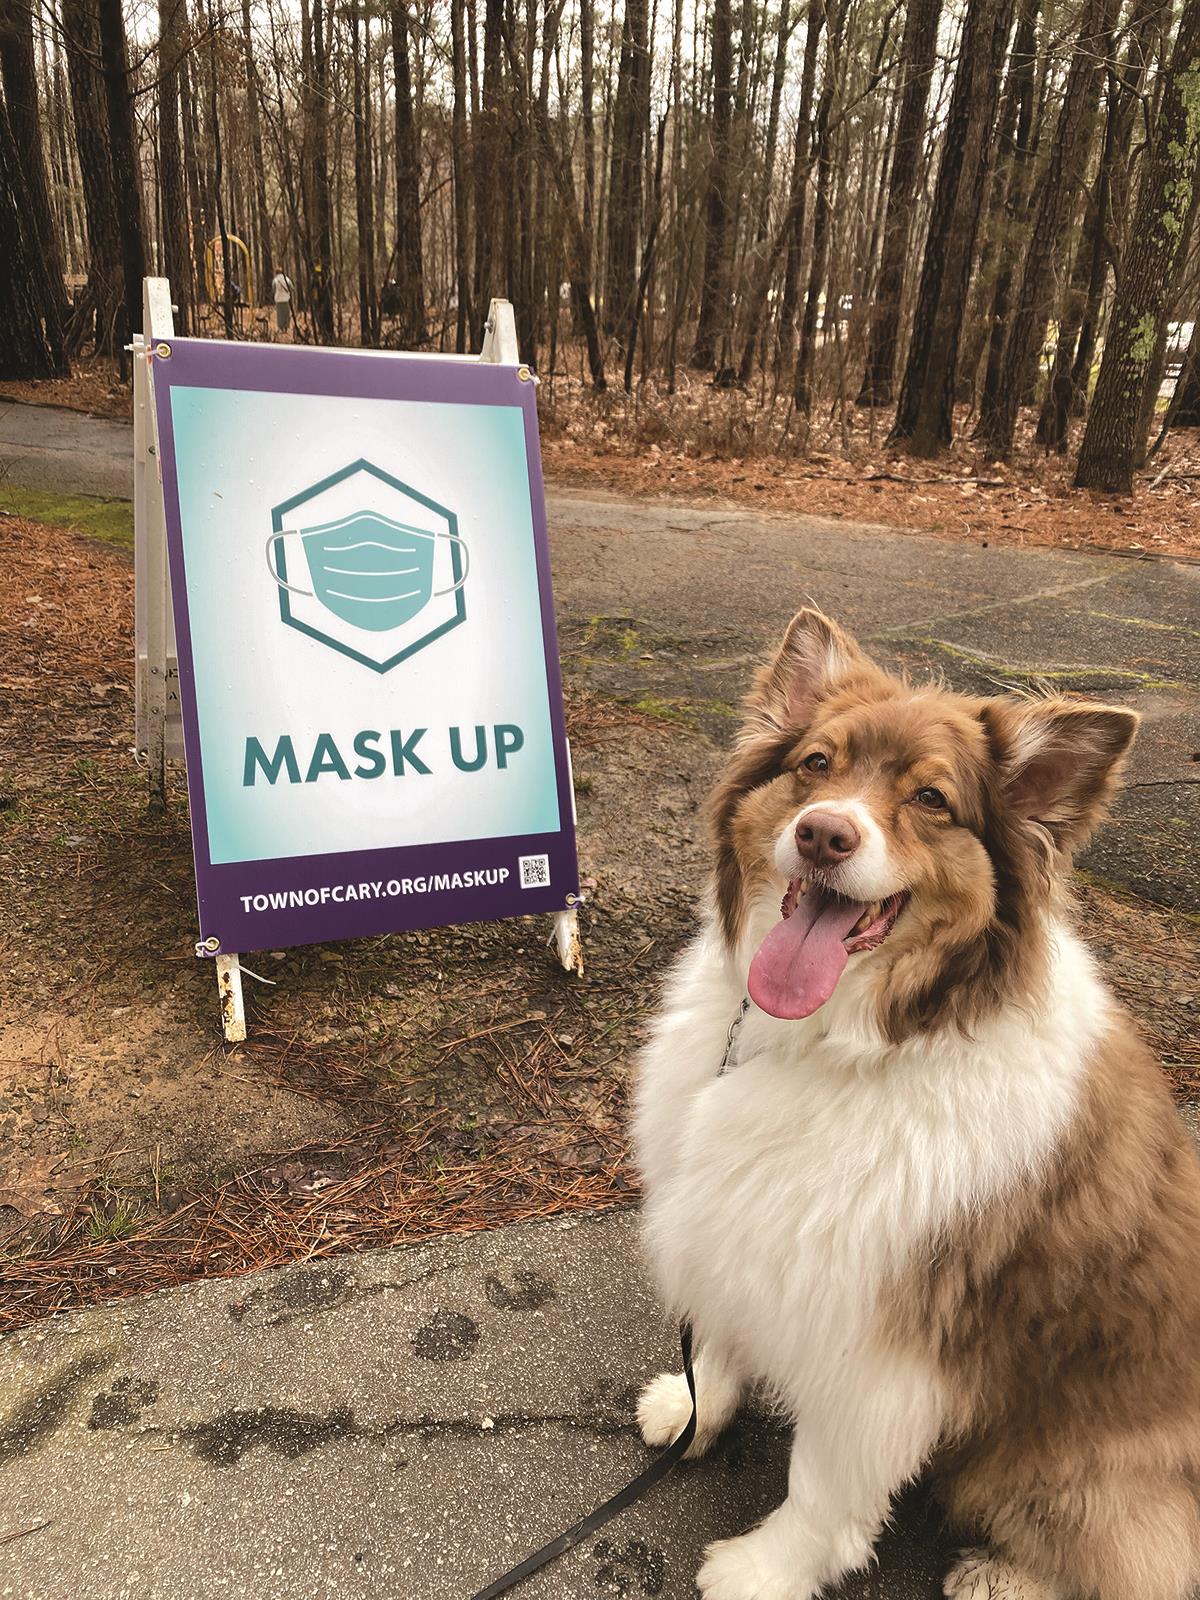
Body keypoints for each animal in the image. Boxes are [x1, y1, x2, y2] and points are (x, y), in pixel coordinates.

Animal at [633, 608, 1200, 1600]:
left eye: (932, 799)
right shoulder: (752, 1236)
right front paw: (695, 1409)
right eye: (816, 763)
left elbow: (821, 1488)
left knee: (1149, 1558)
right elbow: (722, 1340)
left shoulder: (883, 1355)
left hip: (1062, 1468)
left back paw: (999, 1578)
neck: (849, 1040)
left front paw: (764, 1570)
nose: (823, 835)